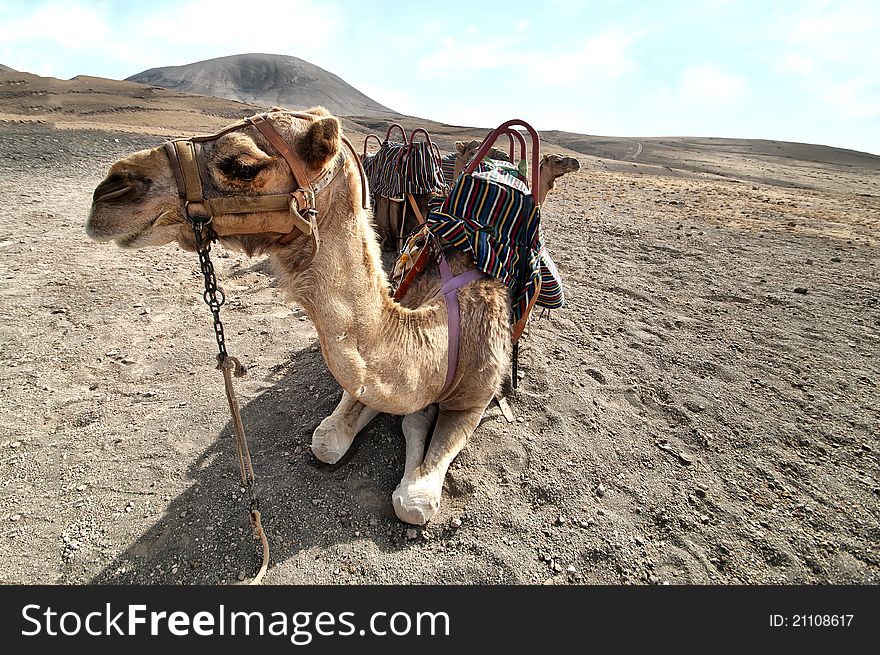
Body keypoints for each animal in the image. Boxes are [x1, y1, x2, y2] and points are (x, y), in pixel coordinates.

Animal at [86, 109, 512, 528]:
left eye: (242, 165)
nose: (109, 190)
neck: (438, 337)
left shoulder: (475, 401)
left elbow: (414, 503)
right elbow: (328, 440)